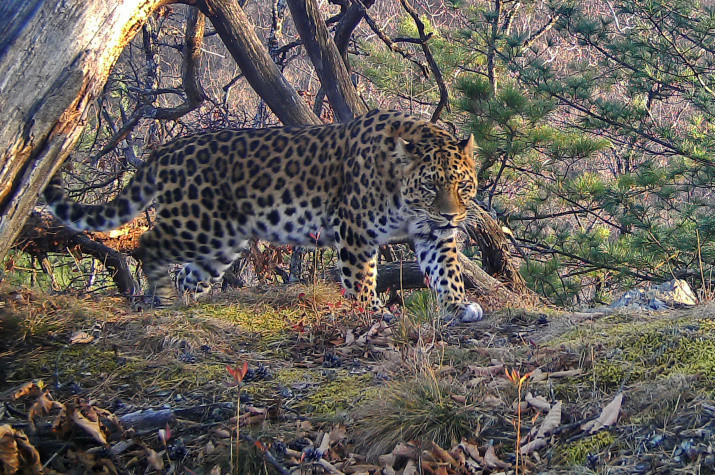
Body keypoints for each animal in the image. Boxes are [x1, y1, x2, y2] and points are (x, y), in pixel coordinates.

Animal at [44, 109, 486, 324]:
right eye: (429, 187)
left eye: (463, 186)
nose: (451, 216)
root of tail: (168, 149)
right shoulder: (355, 230)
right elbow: (362, 278)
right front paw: (373, 313)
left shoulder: (432, 234)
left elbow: (446, 270)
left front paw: (457, 305)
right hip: (196, 225)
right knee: (148, 244)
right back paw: (165, 299)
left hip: (221, 241)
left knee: (190, 274)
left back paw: (191, 307)